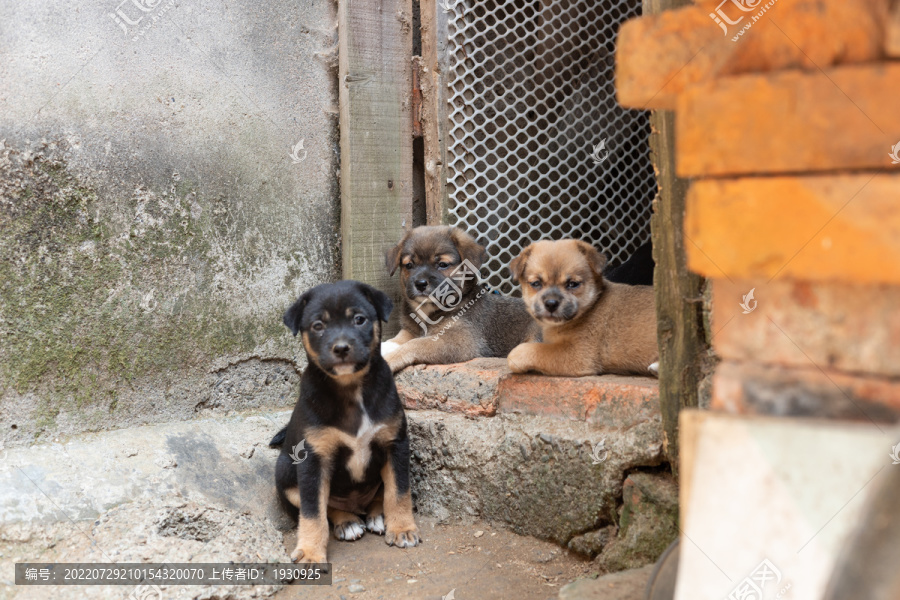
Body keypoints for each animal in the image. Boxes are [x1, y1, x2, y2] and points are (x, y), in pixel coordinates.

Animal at [272, 280, 420, 564]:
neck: (350, 389)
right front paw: (310, 553)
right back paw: (347, 521)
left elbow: (399, 491)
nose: (341, 348)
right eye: (318, 325)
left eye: (359, 319)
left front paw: (402, 528)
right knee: (327, 506)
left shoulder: (395, 444)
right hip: (285, 471)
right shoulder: (313, 459)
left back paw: (377, 515)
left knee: (380, 494)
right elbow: (313, 511)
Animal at [382, 226, 536, 370]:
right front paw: (385, 346)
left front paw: (390, 359)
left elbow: (415, 344)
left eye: (443, 264)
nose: (420, 284)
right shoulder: (411, 329)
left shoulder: (461, 340)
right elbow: (400, 337)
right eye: (409, 265)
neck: (429, 310)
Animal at [506, 238, 660, 376]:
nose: (551, 303)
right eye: (536, 283)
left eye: (572, 284)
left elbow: (533, 350)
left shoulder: (577, 355)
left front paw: (516, 357)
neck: (592, 306)